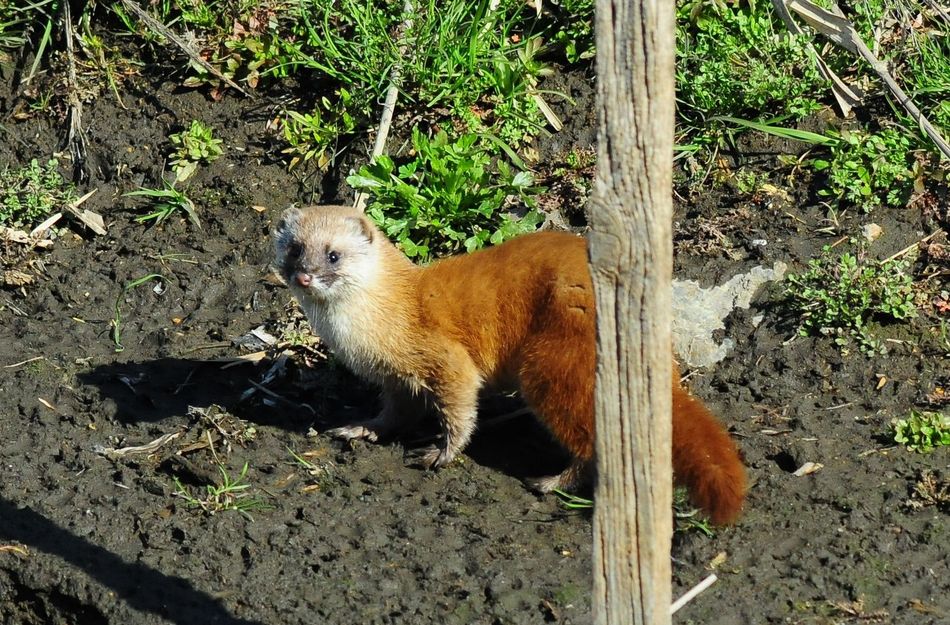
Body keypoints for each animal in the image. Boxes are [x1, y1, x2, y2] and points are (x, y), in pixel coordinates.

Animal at [276, 205, 752, 520]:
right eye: (295, 248)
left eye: (333, 254)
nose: (304, 274)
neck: (369, 333)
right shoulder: (395, 380)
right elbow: (394, 413)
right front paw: (358, 429)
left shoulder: (443, 356)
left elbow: (460, 405)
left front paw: (439, 453)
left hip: (551, 367)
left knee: (592, 443)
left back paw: (549, 482)